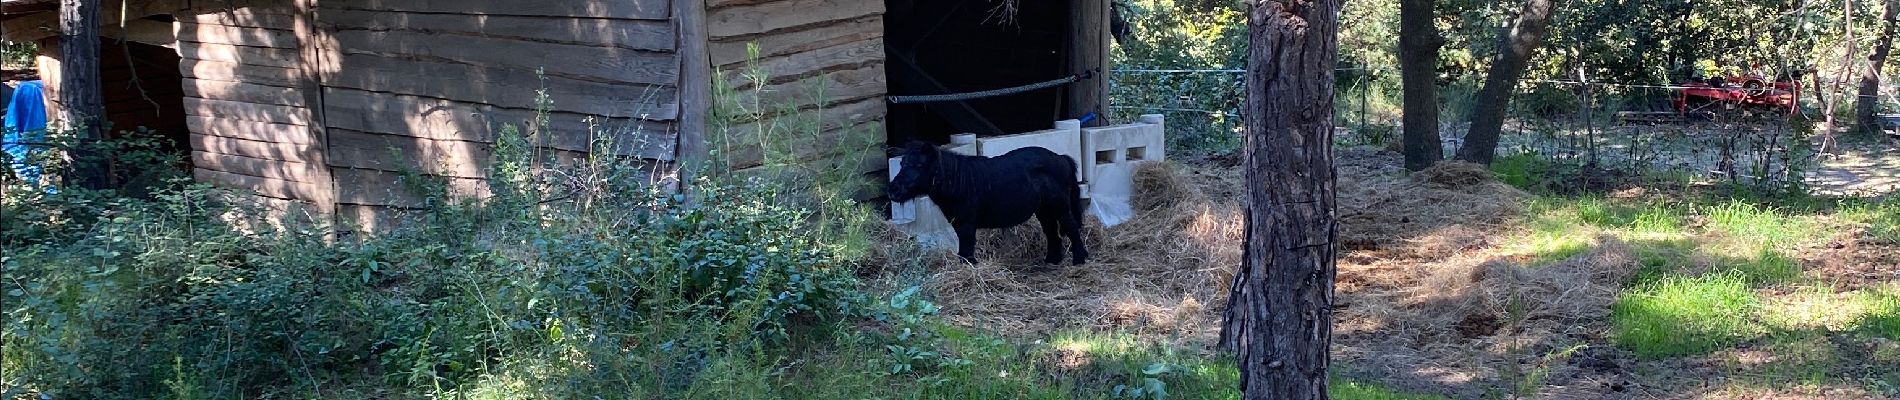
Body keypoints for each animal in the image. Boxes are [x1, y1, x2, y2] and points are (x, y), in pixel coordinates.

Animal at [885, 142, 1094, 267]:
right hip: (1044, 210)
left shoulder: (967, 225)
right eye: (902, 163)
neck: (959, 181)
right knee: (1052, 233)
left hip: (1060, 207)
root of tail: (1062, 158)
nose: (893, 190)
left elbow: (966, 250)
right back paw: (1052, 260)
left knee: (1071, 228)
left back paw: (1079, 259)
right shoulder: (958, 224)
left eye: (919, 165)